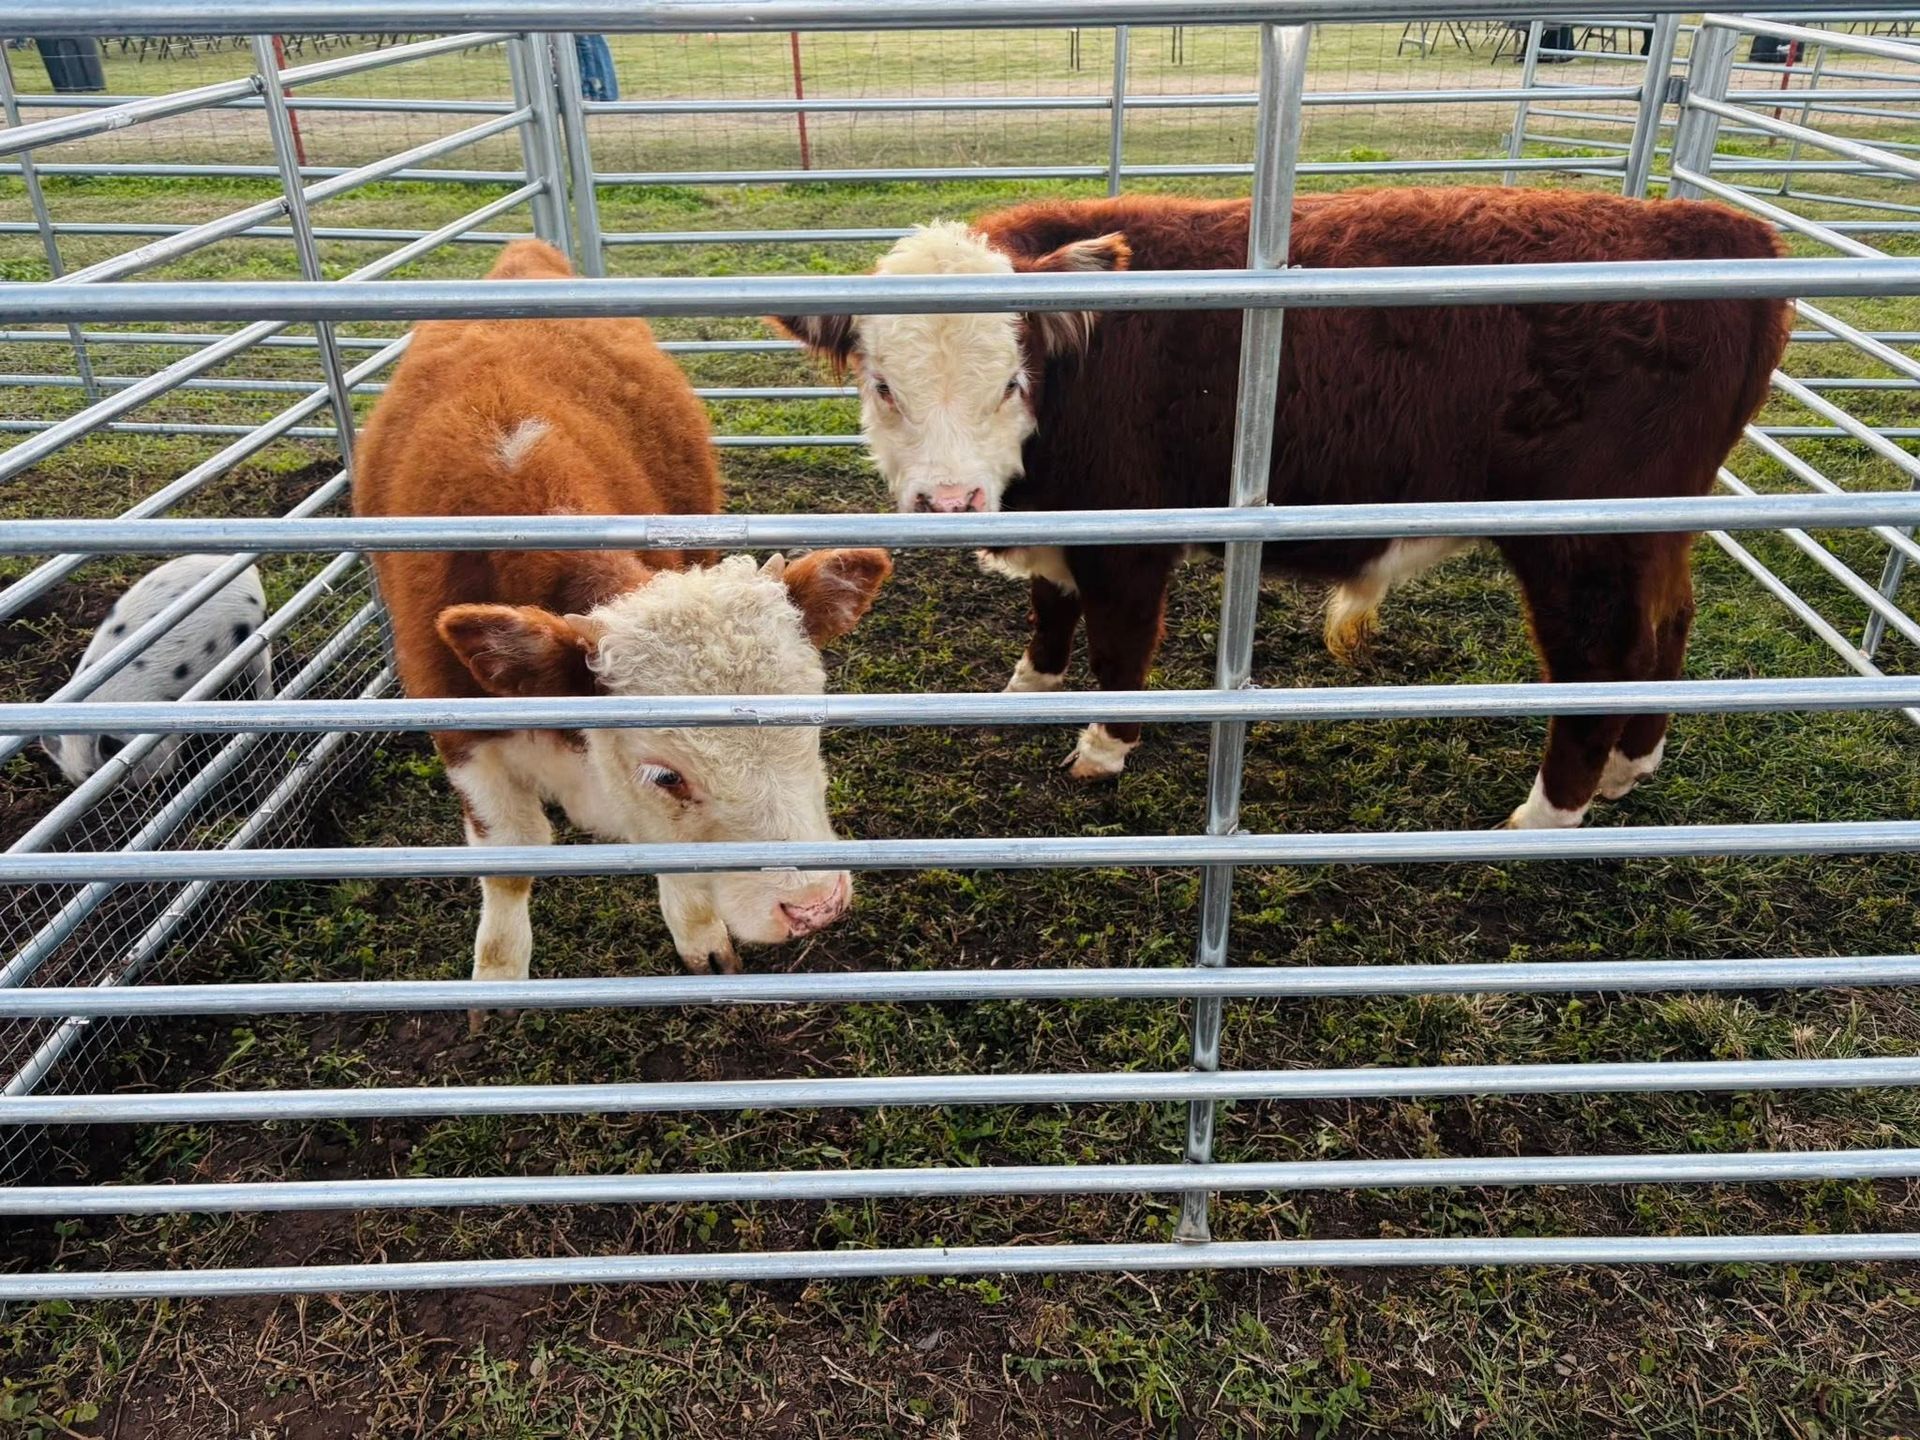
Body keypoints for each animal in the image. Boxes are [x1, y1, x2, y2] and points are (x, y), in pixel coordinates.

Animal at [356, 239, 891, 995]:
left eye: (812, 724)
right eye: (666, 775)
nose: (815, 905)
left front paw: (699, 935)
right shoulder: (461, 737)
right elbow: (511, 860)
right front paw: (497, 978)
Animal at [774, 187, 1790, 829]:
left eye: (1010, 382)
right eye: (883, 385)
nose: (951, 498)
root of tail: (1709, 228)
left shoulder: (1132, 536)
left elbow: (1119, 642)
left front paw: (1103, 747)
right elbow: (1049, 609)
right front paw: (1029, 686)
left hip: (1580, 545)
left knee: (1598, 663)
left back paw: (1546, 815)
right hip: (1652, 532)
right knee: (1668, 625)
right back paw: (1631, 766)